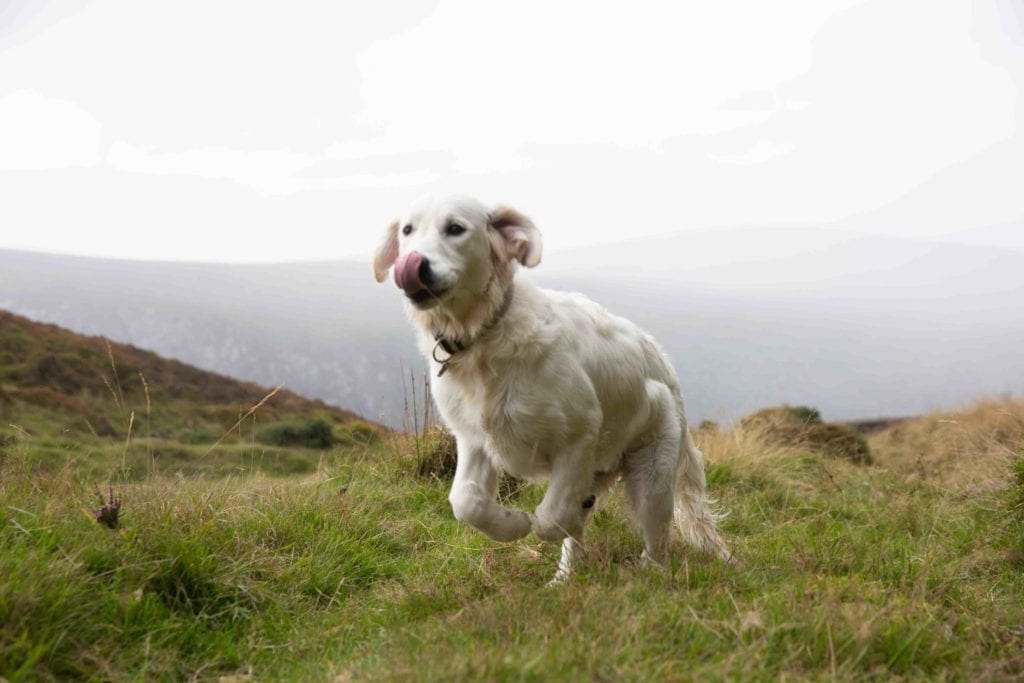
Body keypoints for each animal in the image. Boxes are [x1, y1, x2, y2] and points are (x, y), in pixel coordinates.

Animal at [372, 193, 733, 581]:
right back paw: (562, 580)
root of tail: (665, 366)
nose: (413, 265)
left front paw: (535, 522)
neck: (484, 336)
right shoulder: (475, 441)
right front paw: (511, 524)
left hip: (652, 472)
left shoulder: (579, 437)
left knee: (655, 544)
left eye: (455, 229)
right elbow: (466, 502)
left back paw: (650, 574)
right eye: (408, 230)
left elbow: (550, 518)